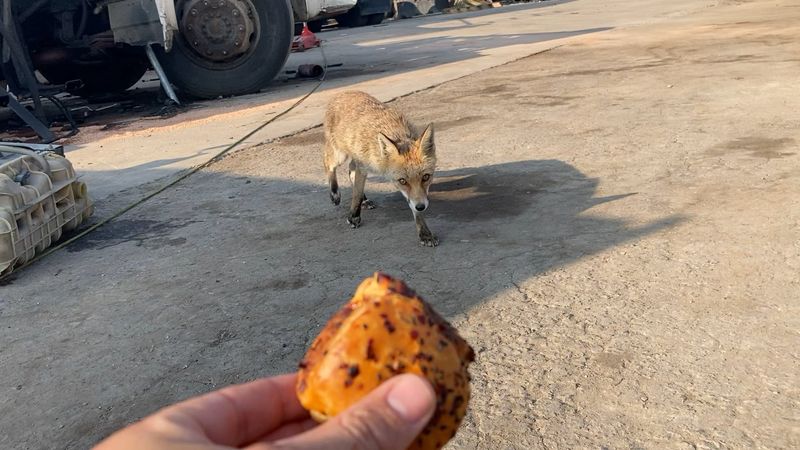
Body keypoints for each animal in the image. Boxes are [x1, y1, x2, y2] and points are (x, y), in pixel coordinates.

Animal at [323, 91, 438, 247]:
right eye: (403, 181)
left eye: (426, 177)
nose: (421, 206)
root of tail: (342, 93)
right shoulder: (363, 167)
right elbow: (356, 194)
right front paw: (353, 216)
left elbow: (413, 205)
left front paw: (424, 233)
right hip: (339, 155)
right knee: (328, 163)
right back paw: (335, 193)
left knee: (350, 170)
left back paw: (365, 200)